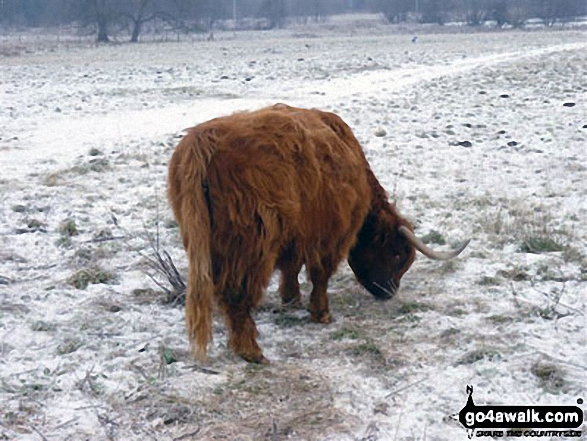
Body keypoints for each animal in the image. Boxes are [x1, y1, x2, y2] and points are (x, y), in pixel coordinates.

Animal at [169, 102, 468, 360]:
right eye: (396, 254)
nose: (389, 292)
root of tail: (201, 140)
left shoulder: (296, 234)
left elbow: (291, 269)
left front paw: (291, 299)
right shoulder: (329, 235)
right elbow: (320, 274)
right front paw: (321, 313)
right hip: (250, 245)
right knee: (236, 295)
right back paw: (251, 351)